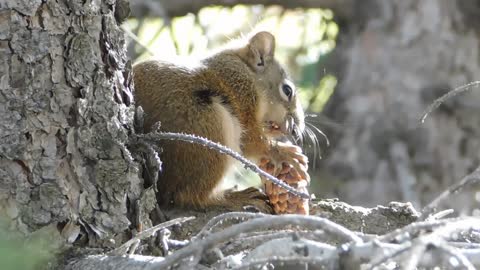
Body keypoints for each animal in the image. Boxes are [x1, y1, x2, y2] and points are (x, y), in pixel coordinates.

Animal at [133, 31, 310, 213]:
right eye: (287, 90)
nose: (297, 129)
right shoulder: (240, 91)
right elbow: (250, 142)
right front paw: (285, 153)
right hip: (209, 128)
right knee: (192, 196)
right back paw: (236, 197)